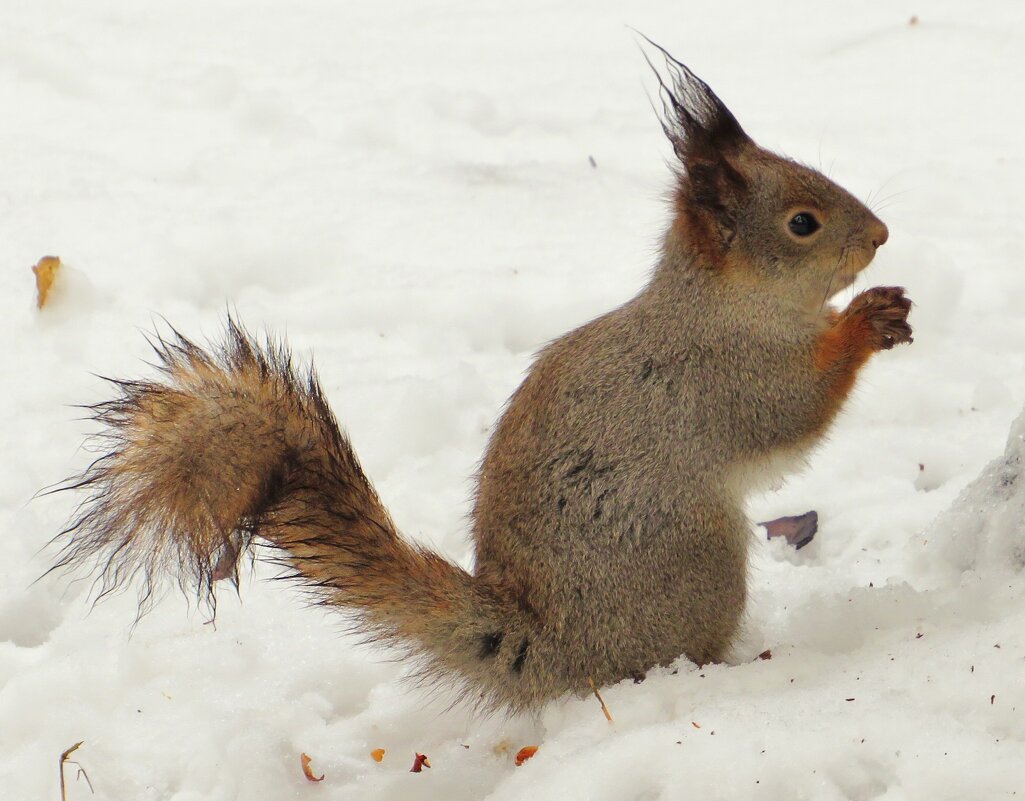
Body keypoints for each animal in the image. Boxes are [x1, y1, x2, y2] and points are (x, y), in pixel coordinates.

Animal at [52, 45, 910, 713]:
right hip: (697, 554)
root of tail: (554, 646)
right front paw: (863, 322)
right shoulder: (722, 377)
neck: (726, 302)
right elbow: (791, 411)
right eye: (801, 222)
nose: (878, 233)